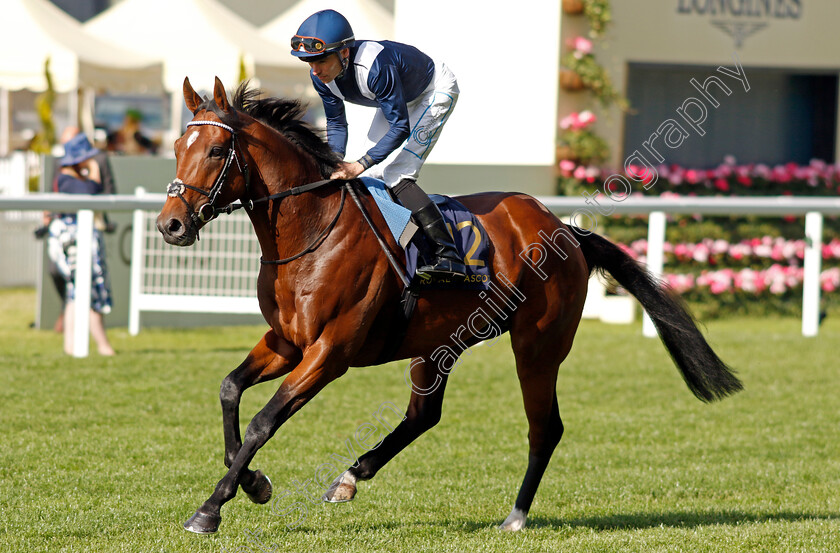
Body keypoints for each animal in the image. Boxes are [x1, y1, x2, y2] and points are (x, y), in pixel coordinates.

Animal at [156, 75, 740, 532]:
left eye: (215, 151)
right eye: (179, 148)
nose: (171, 225)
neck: (313, 232)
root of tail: (567, 232)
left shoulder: (329, 353)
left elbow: (262, 421)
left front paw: (210, 509)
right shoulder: (285, 342)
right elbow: (230, 389)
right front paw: (252, 481)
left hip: (537, 346)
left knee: (545, 427)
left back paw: (515, 516)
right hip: (439, 343)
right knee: (423, 415)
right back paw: (350, 478)